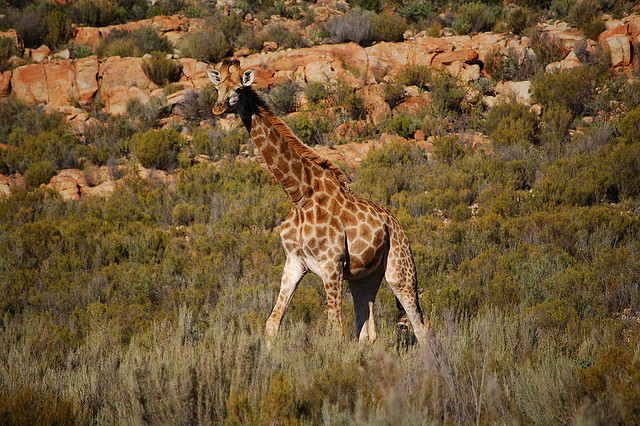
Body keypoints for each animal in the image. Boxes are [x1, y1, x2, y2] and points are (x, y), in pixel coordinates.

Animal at [210, 59, 430, 346]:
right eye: (217, 88)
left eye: (238, 88)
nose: (218, 107)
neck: (299, 195)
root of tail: (396, 224)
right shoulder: (294, 262)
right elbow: (272, 324)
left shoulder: (331, 264)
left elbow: (334, 330)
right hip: (364, 277)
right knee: (367, 332)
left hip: (399, 269)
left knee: (420, 326)